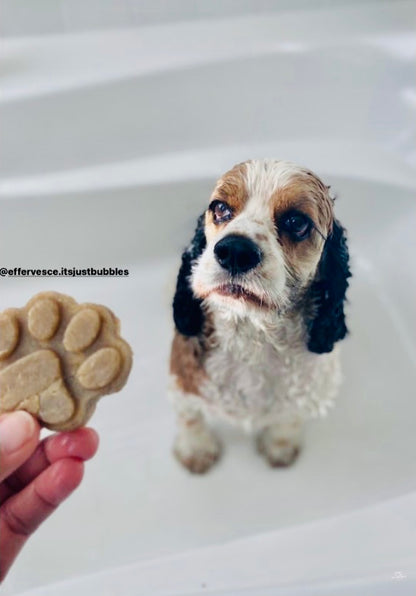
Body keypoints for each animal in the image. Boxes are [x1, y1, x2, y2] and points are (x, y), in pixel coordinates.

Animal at [167, 159, 350, 474]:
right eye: (220, 208)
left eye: (297, 222)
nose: (234, 250)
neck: (253, 336)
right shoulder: (184, 378)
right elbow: (191, 416)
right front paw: (197, 449)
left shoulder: (308, 389)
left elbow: (289, 418)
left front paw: (280, 447)